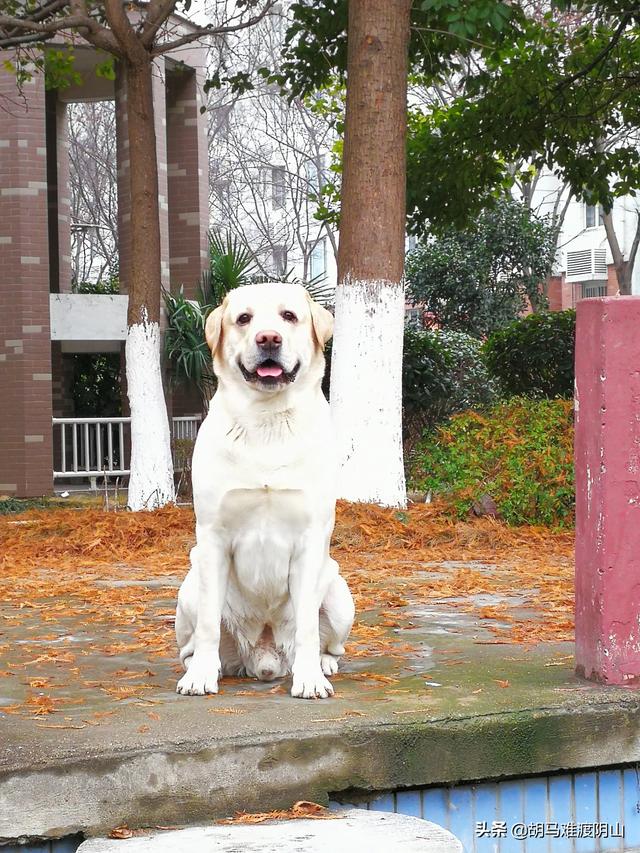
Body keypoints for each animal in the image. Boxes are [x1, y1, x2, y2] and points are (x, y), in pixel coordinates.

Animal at [175, 282, 356, 696]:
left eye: (289, 316)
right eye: (244, 319)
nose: (269, 338)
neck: (267, 420)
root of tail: (264, 659)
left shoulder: (310, 540)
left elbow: (308, 626)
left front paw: (310, 680)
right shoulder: (212, 536)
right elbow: (208, 625)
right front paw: (200, 677)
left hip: (339, 593)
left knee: (329, 643)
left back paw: (323, 665)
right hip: (190, 583)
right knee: (193, 643)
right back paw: (203, 667)